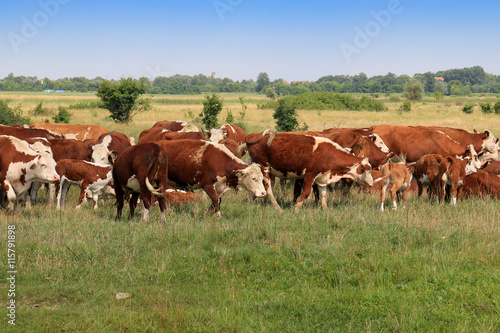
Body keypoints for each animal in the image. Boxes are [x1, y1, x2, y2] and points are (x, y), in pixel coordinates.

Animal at [244, 128, 374, 211]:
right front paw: (296, 208)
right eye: (367, 169)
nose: (372, 183)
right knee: (268, 189)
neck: (327, 153)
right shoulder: (310, 174)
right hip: (264, 168)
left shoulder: (322, 178)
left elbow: (323, 194)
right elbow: (306, 192)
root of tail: (255, 135)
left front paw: (325, 208)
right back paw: (278, 208)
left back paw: (252, 203)